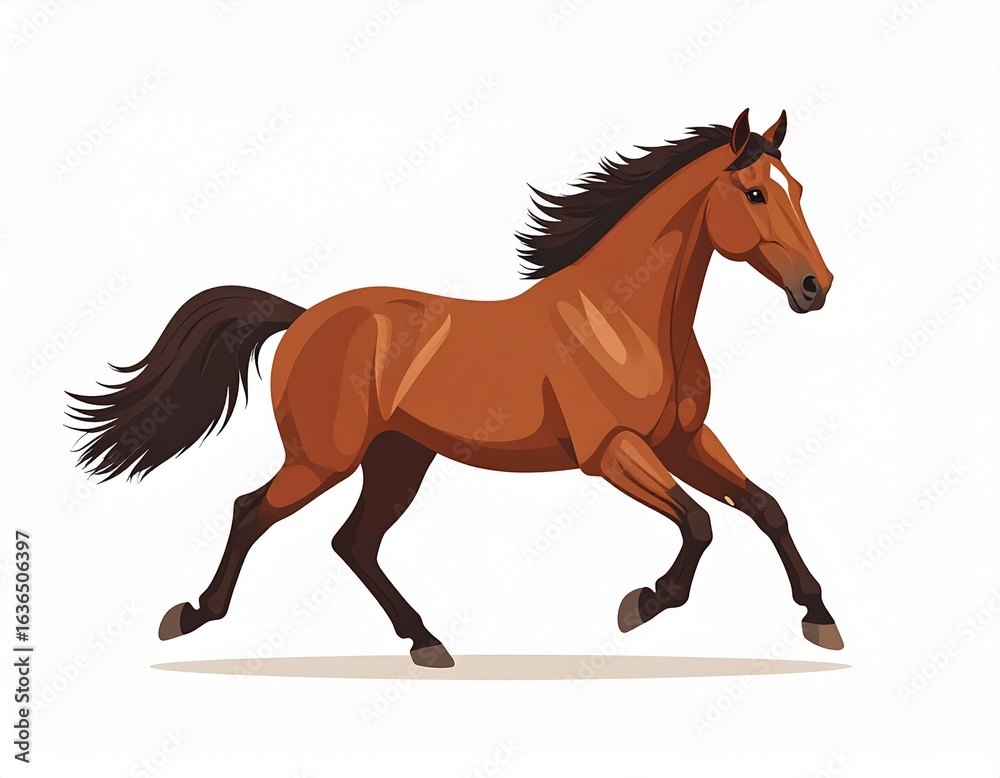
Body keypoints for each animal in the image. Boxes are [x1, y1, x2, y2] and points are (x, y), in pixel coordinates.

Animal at [69, 109, 842, 668]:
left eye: (799, 191)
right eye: (754, 192)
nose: (817, 287)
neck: (624, 316)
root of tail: (305, 315)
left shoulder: (682, 440)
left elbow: (766, 508)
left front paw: (820, 618)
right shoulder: (612, 452)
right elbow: (699, 523)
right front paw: (644, 603)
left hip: (398, 457)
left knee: (353, 542)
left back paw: (426, 641)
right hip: (324, 458)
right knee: (251, 510)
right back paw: (192, 615)